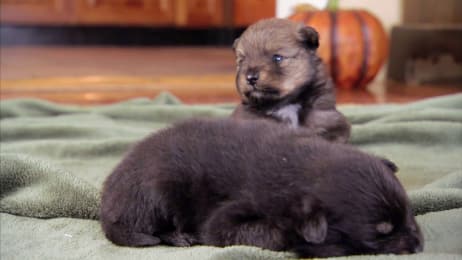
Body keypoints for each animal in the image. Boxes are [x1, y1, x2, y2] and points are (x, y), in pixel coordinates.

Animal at [100, 119, 422, 256]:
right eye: (381, 233)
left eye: (409, 213)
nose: (420, 246)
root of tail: (107, 202)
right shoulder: (223, 220)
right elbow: (272, 234)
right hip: (160, 191)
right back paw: (179, 237)